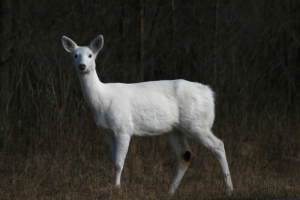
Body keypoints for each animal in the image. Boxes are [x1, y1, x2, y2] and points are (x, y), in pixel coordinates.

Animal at [62, 34, 233, 195]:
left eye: (90, 55)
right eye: (75, 55)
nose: (82, 66)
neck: (101, 100)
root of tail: (209, 93)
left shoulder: (123, 128)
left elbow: (119, 164)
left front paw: (117, 189)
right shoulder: (108, 132)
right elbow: (114, 162)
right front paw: (114, 187)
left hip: (196, 123)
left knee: (218, 145)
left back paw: (229, 189)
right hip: (174, 129)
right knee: (185, 155)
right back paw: (169, 192)